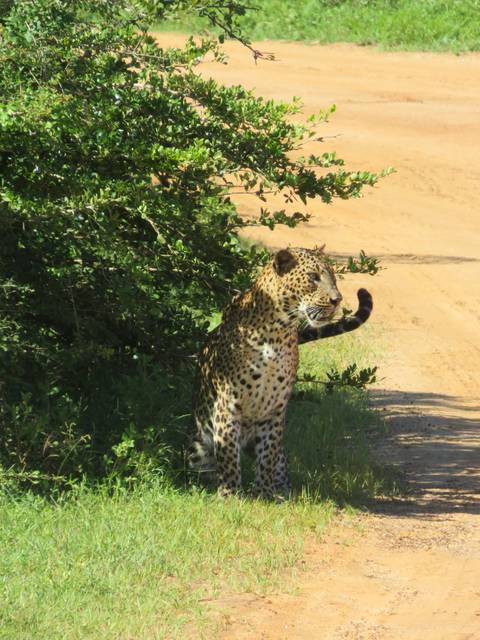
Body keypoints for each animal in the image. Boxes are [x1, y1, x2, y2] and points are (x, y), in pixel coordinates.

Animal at [189, 245, 373, 499]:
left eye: (333, 278)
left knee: (281, 461)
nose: (337, 300)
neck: (277, 332)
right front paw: (231, 494)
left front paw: (265, 494)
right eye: (313, 277)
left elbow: (268, 456)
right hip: (196, 450)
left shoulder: (275, 409)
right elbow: (228, 455)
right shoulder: (228, 404)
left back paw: (282, 491)